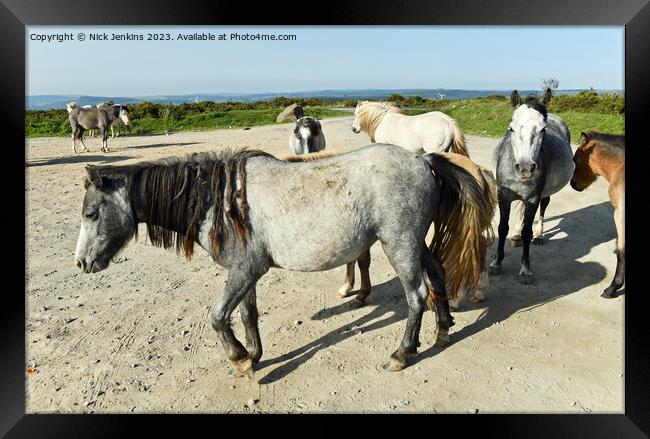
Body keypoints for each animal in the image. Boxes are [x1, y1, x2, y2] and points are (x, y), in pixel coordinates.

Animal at [73, 144, 484, 378]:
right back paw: (443, 331)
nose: (81, 263)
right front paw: (253, 354)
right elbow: (245, 314)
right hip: (415, 243)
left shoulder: (245, 270)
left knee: (416, 296)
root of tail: (422, 160)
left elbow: (218, 316)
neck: (219, 201)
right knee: (437, 275)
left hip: (399, 245)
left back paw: (401, 354)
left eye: (91, 213)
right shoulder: (245, 272)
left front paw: (238, 360)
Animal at [486, 89, 572, 286]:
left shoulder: (533, 197)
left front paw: (525, 269)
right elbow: (502, 227)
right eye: (511, 128)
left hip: (544, 194)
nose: (525, 168)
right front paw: (496, 262)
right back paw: (516, 235)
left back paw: (539, 236)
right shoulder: (503, 195)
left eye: (542, 129)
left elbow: (528, 231)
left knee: (542, 209)